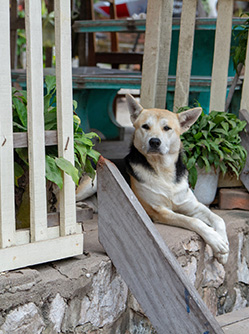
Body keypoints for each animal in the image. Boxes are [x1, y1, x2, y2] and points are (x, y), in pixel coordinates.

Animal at [125, 93, 229, 264]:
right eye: (145, 126)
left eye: (167, 128)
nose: (154, 141)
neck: (163, 170)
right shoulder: (160, 211)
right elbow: (193, 221)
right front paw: (216, 240)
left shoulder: (193, 206)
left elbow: (218, 218)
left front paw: (223, 246)